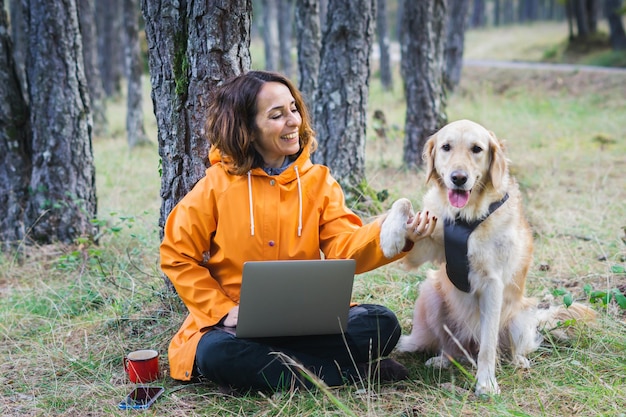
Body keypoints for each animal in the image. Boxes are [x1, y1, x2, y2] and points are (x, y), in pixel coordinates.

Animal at [378, 118, 592, 394]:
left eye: (477, 149)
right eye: (446, 147)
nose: (458, 178)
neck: (466, 217)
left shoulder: (492, 284)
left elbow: (488, 346)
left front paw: (486, 383)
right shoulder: (421, 249)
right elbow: (402, 202)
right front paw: (390, 236)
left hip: (519, 317)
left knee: (508, 348)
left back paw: (518, 360)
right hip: (430, 294)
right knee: (450, 347)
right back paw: (442, 359)